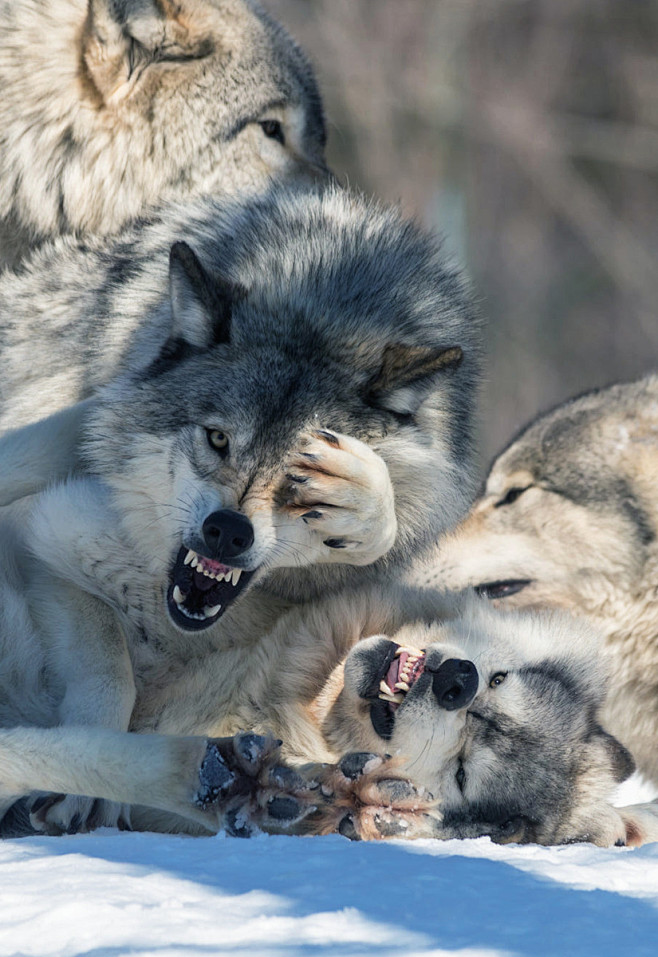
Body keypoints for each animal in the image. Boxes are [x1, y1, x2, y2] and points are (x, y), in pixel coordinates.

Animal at [0, 183, 482, 832]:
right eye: (218, 439)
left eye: (297, 481)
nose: (226, 531)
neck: (320, 314)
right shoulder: (52, 534)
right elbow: (108, 669)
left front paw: (363, 502)